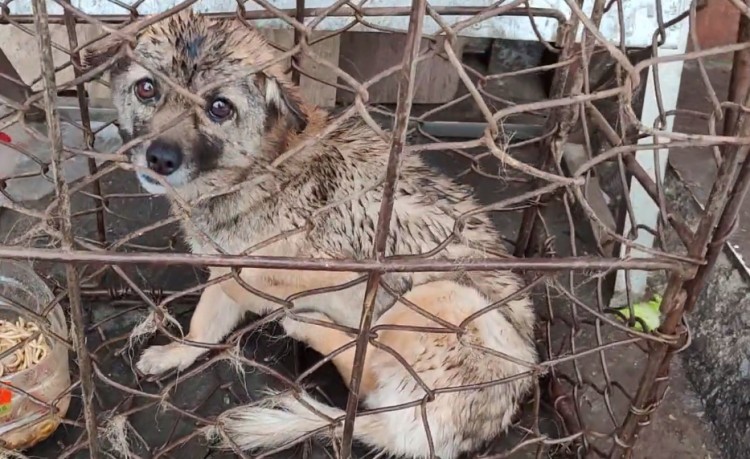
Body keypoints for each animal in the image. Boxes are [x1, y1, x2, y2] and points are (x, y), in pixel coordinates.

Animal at [83, 9, 540, 456]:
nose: (160, 158)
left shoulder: (341, 270)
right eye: (146, 88)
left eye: (219, 107)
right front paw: (176, 353)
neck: (256, 171)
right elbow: (205, 324)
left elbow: (265, 286)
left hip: (445, 297)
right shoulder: (226, 269)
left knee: (365, 368)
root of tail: (408, 437)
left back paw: (307, 324)